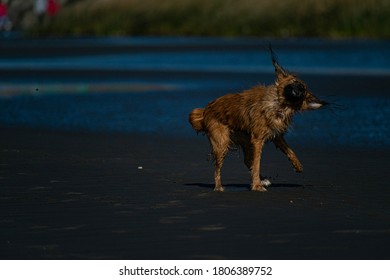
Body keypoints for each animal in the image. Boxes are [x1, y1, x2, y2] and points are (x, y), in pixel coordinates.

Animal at [189, 46, 326, 191]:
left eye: (303, 90)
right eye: (294, 83)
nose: (299, 89)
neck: (279, 104)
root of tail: (205, 110)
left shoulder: (275, 136)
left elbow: (289, 151)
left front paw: (297, 165)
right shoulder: (258, 139)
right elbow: (257, 163)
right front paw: (256, 185)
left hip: (244, 139)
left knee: (247, 160)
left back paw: (263, 179)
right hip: (222, 142)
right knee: (218, 168)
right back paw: (219, 186)